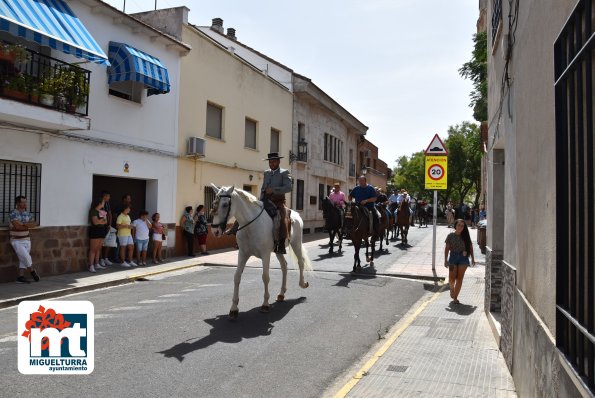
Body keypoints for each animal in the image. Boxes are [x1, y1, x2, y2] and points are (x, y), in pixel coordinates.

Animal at [208, 186, 312, 320]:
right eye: (213, 203)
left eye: (225, 204)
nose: (215, 231)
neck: (250, 225)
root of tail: (296, 214)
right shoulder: (242, 254)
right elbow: (237, 277)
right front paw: (234, 308)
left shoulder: (265, 255)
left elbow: (265, 277)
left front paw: (265, 304)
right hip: (278, 250)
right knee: (284, 266)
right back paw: (281, 293)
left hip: (296, 243)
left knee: (300, 261)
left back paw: (302, 283)